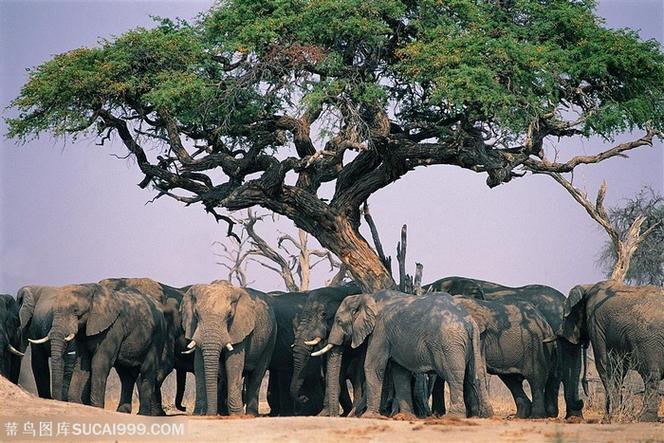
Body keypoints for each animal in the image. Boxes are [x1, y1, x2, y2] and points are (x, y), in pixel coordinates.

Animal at [181, 281, 276, 416]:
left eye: (230, 315)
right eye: (196, 314)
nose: (211, 414)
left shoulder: (239, 328)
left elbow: (233, 363)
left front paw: (236, 415)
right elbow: (198, 365)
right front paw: (198, 414)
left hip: (271, 337)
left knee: (257, 374)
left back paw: (250, 415)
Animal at [318, 290, 494, 419]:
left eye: (339, 321)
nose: (337, 416)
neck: (367, 297)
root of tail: (468, 321)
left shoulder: (380, 331)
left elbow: (373, 366)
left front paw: (369, 416)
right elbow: (400, 372)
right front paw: (406, 416)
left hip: (449, 344)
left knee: (453, 376)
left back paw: (452, 417)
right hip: (473, 341)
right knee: (476, 374)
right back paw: (486, 416)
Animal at [427, 276, 583, 419]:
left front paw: (472, 415)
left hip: (537, 345)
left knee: (538, 378)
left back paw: (539, 416)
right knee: (514, 379)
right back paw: (525, 416)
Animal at [561, 280, 664, 422]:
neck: (588, 286)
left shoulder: (596, 324)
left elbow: (606, 367)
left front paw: (609, 417)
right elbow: (619, 369)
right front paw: (616, 414)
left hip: (649, 340)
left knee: (650, 375)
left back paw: (643, 418)